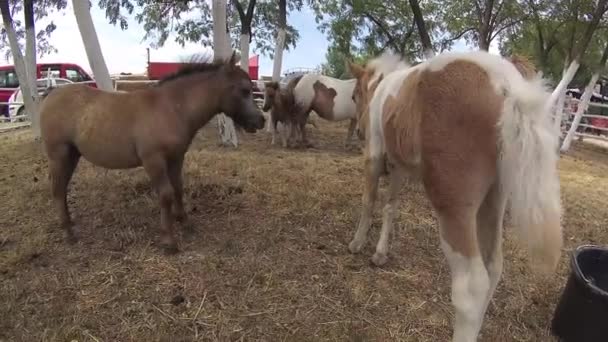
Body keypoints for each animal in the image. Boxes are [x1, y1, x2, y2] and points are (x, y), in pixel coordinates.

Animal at [39, 53, 264, 254]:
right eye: (244, 90)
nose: (260, 121)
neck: (171, 108)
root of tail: (51, 94)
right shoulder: (153, 160)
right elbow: (165, 194)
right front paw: (169, 241)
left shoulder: (176, 157)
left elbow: (178, 188)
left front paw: (185, 223)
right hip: (58, 154)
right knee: (57, 189)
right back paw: (69, 234)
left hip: (72, 155)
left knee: (62, 188)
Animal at [346, 50, 560, 342]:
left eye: (355, 95)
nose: (359, 130)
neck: (385, 88)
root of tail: (506, 85)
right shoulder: (400, 166)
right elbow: (391, 207)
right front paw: (380, 253)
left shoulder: (375, 155)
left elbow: (368, 201)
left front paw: (357, 243)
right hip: (494, 200)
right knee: (494, 268)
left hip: (453, 205)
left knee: (471, 287)